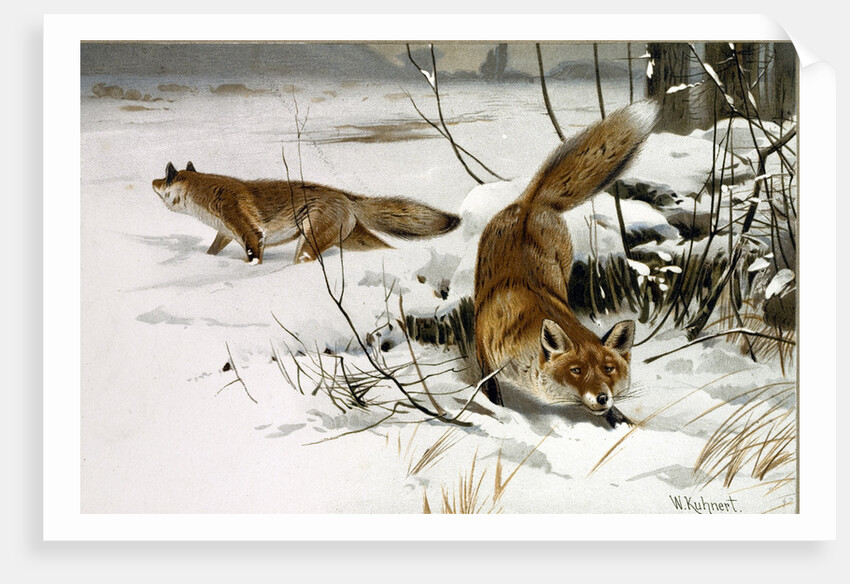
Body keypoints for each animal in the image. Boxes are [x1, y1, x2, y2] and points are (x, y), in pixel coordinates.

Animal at [151, 162, 461, 264]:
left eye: (165, 178)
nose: (151, 182)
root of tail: (345, 196)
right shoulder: (226, 234)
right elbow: (212, 251)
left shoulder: (251, 234)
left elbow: (253, 259)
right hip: (352, 240)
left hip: (308, 244)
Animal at [474, 101, 659, 428]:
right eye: (576, 371)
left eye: (609, 369)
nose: (602, 397)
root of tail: (530, 202)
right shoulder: (485, 352)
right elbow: (490, 390)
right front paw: (499, 412)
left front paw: (622, 423)